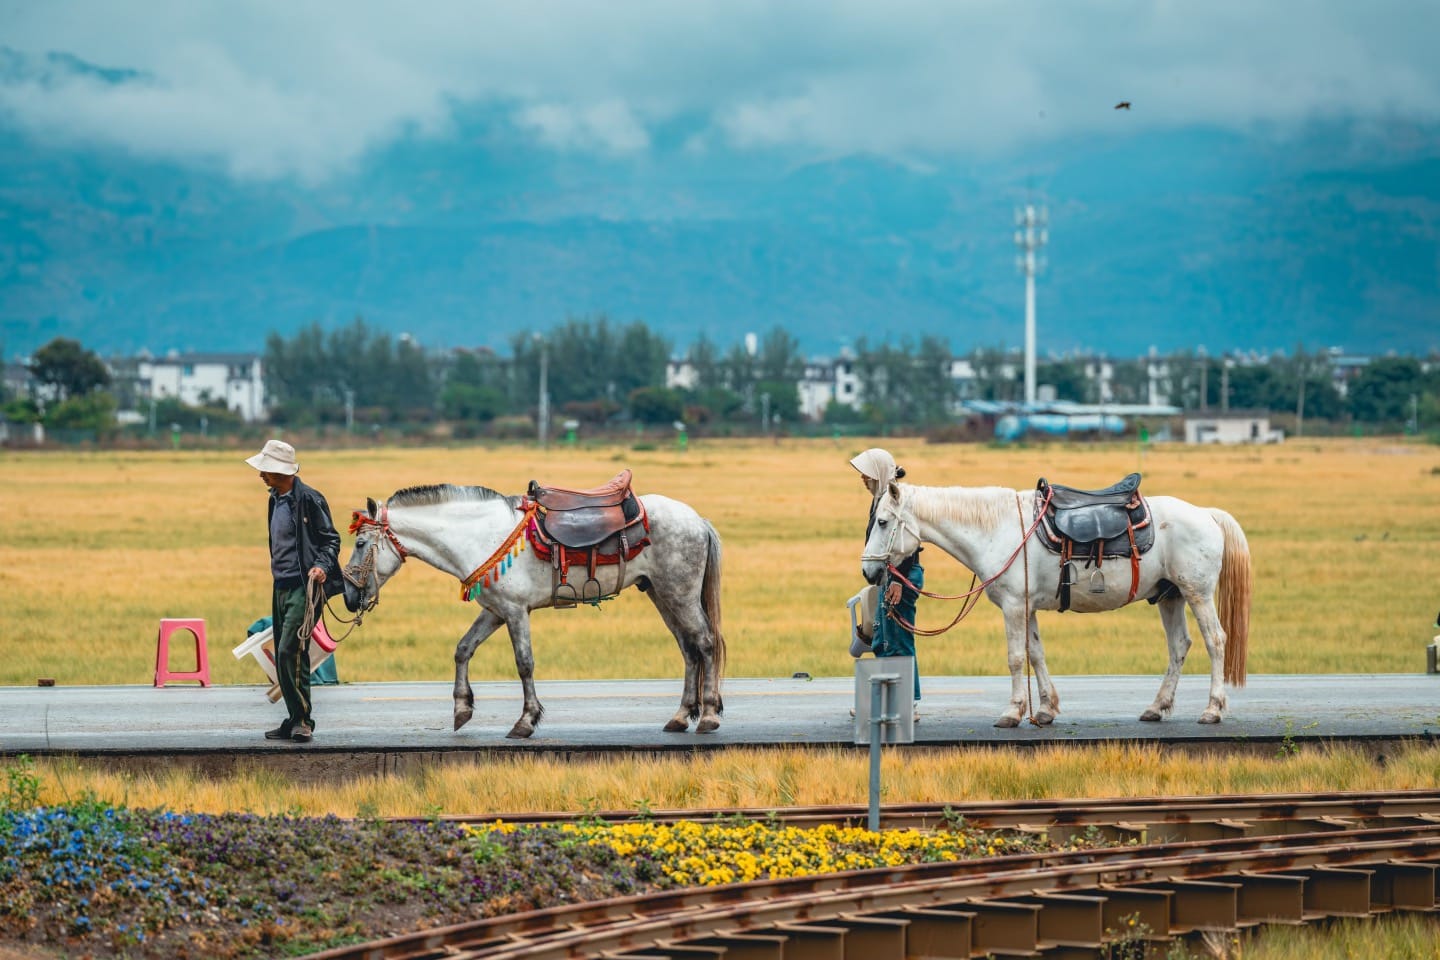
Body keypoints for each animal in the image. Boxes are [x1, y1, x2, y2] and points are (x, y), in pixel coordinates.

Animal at [341, 482, 725, 739]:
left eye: (360, 543)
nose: (348, 595)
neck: (479, 535)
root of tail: (698, 520)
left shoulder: (515, 611)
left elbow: (524, 663)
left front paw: (525, 721)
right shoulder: (495, 611)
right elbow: (463, 649)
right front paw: (462, 709)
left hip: (680, 593)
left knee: (705, 642)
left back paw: (708, 716)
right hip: (661, 594)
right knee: (688, 648)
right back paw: (680, 716)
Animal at [860, 474, 1251, 727]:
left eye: (883, 522)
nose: (868, 572)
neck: (997, 530)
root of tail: (1208, 514)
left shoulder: (1014, 606)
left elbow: (1016, 658)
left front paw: (1013, 712)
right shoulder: (1027, 607)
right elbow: (1036, 653)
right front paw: (1046, 709)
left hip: (1197, 593)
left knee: (1216, 641)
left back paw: (1213, 710)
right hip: (1170, 597)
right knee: (1179, 646)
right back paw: (1157, 707)